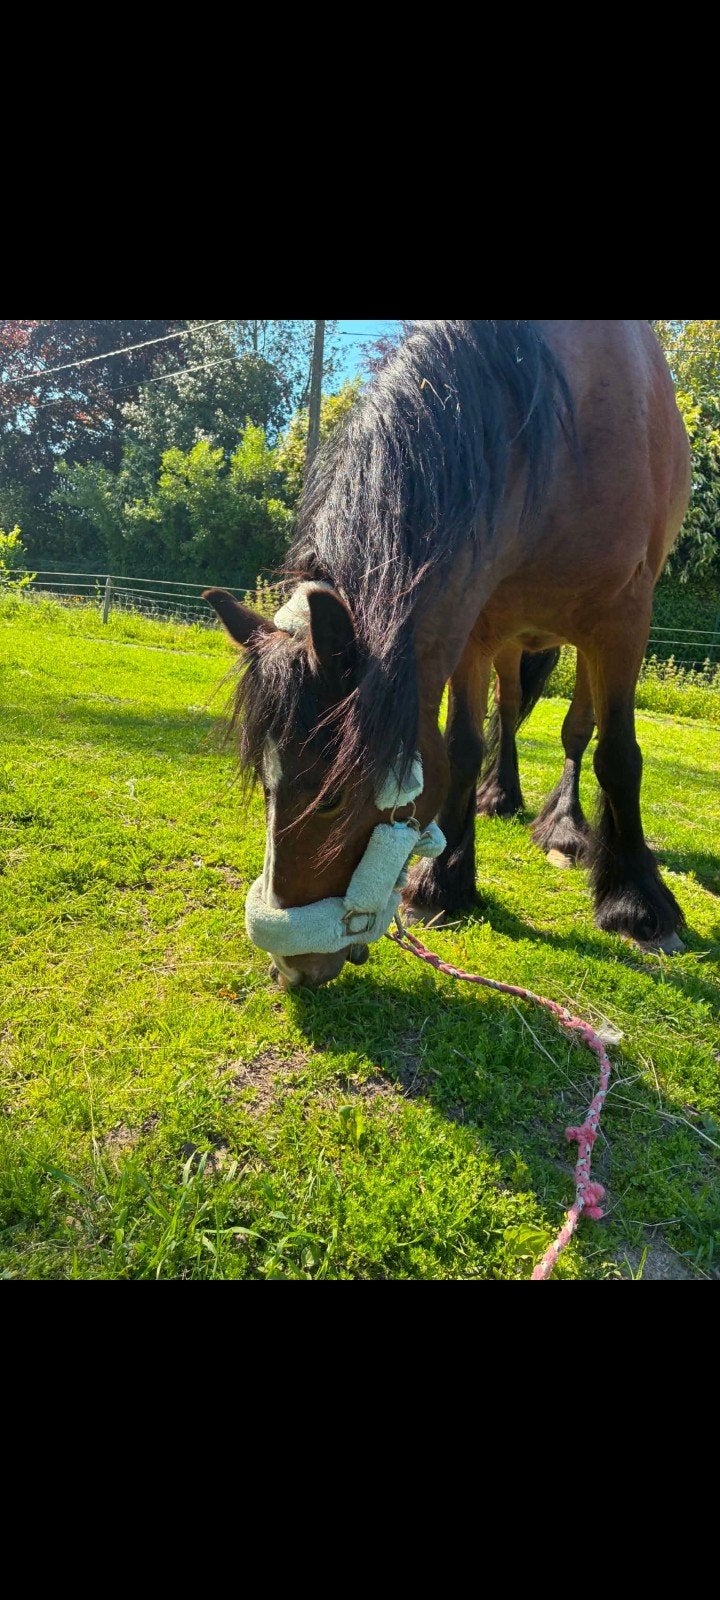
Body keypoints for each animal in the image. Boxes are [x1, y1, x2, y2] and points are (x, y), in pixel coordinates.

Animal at [204, 320, 691, 989]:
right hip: (514, 643)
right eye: (268, 786)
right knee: (509, 714)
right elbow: (461, 747)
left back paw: (565, 829)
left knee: (579, 730)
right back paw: (501, 798)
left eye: (331, 798)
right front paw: (443, 884)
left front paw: (639, 907)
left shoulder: (622, 619)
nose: (290, 966)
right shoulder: (474, 628)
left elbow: (619, 755)